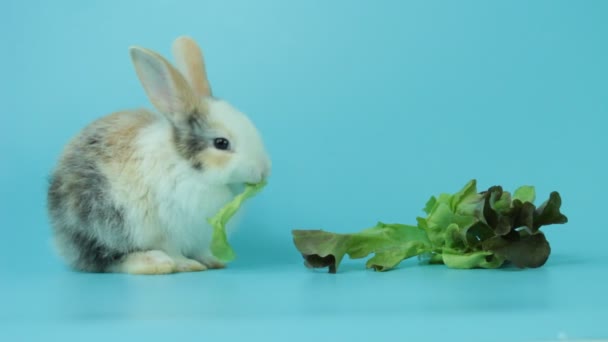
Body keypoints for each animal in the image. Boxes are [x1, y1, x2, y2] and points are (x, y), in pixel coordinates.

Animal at [48, 36, 272, 274]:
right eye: (221, 143)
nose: (263, 171)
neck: (188, 169)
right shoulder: (167, 232)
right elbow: (173, 250)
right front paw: (187, 265)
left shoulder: (199, 238)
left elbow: (201, 251)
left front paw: (212, 261)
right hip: (105, 223)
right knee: (107, 259)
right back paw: (154, 262)